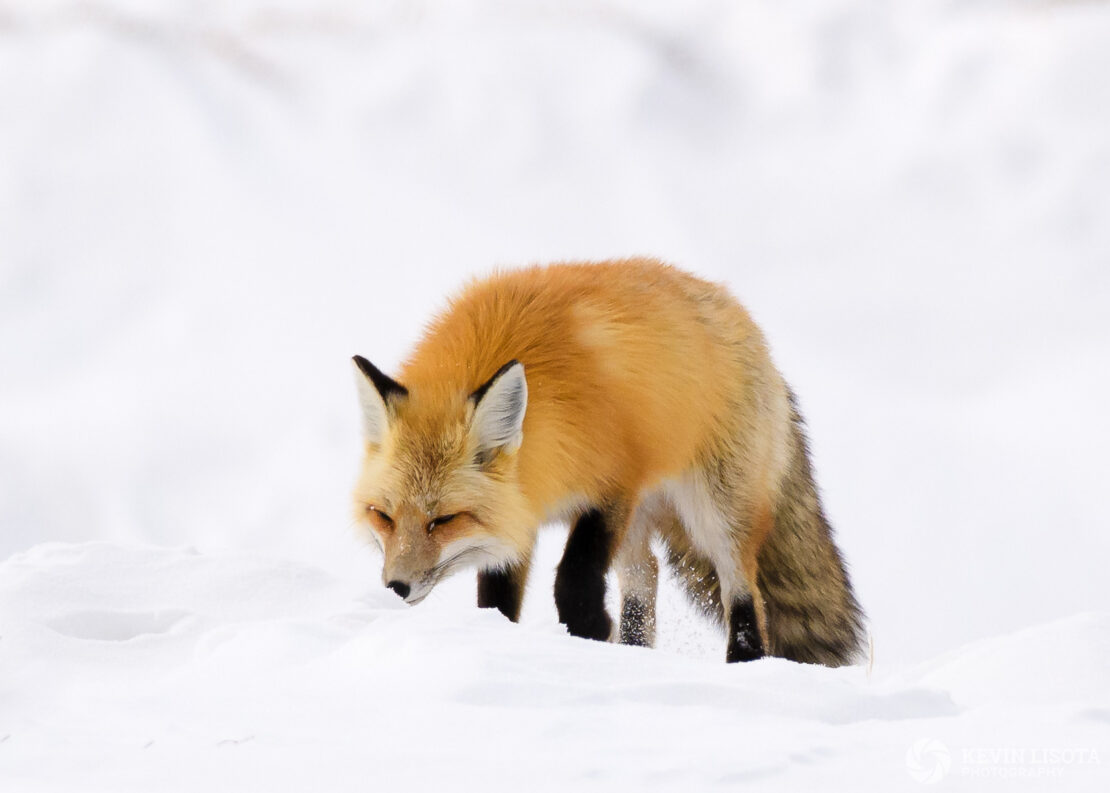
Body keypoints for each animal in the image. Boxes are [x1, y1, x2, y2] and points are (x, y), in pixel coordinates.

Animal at [355, 257, 865, 661]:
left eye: (443, 520)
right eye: (384, 517)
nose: (396, 587)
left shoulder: (614, 487)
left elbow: (574, 579)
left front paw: (587, 632)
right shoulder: (516, 512)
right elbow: (498, 597)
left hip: (714, 513)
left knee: (745, 592)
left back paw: (743, 660)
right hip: (644, 524)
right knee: (647, 577)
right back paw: (634, 654)